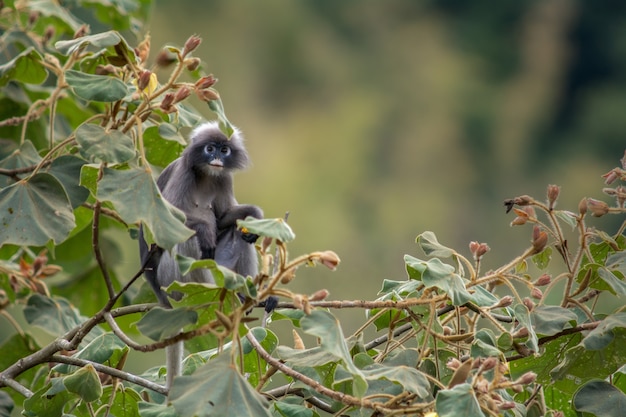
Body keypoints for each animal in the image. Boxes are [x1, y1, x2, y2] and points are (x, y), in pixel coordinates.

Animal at [138, 121, 262, 386]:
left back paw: (243, 295)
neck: (206, 174)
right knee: (186, 240)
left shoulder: (223, 178)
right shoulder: (183, 172)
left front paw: (254, 214)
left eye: (224, 150)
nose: (216, 158)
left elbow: (224, 217)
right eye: (209, 148)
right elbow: (163, 220)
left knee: (237, 233)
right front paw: (205, 230)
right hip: (169, 280)